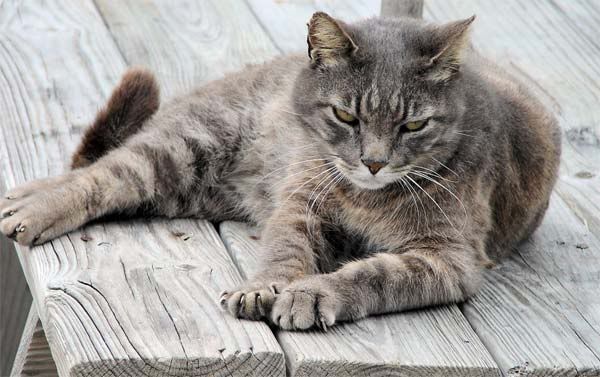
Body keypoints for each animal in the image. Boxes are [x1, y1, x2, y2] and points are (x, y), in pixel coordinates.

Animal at [1, 11, 564, 328]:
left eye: (413, 125)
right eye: (346, 116)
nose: (374, 162)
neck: (366, 198)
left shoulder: (448, 258)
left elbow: (374, 273)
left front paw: (312, 293)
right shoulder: (299, 202)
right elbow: (285, 248)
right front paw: (268, 286)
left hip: (185, 187)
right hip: (186, 146)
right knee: (102, 173)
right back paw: (32, 203)